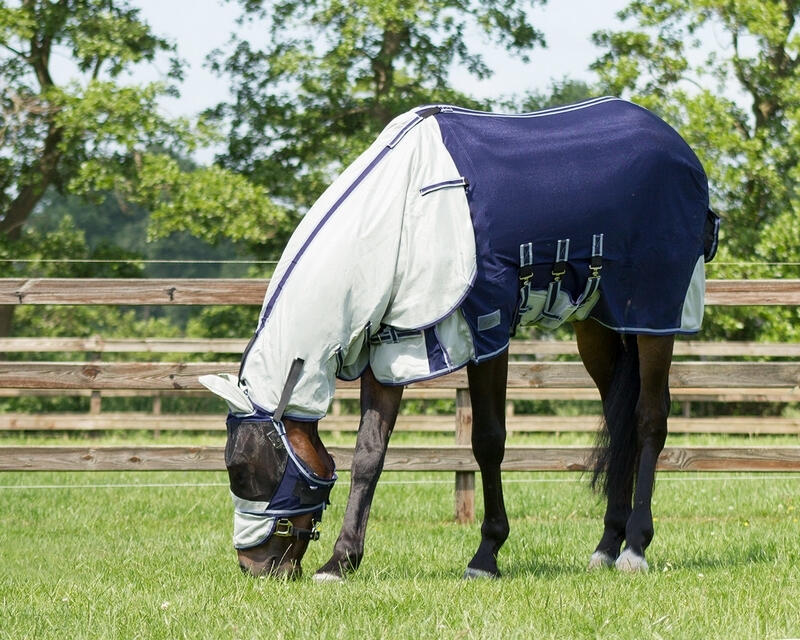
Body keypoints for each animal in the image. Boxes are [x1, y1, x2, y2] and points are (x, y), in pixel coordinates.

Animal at [200, 96, 719, 580]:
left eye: (239, 470)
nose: (255, 567)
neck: (398, 214)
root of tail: (679, 147)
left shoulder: (486, 331)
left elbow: (488, 440)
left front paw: (486, 555)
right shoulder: (392, 343)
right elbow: (369, 453)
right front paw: (341, 561)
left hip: (657, 316)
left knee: (649, 419)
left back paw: (635, 547)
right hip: (598, 326)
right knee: (620, 421)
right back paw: (607, 546)